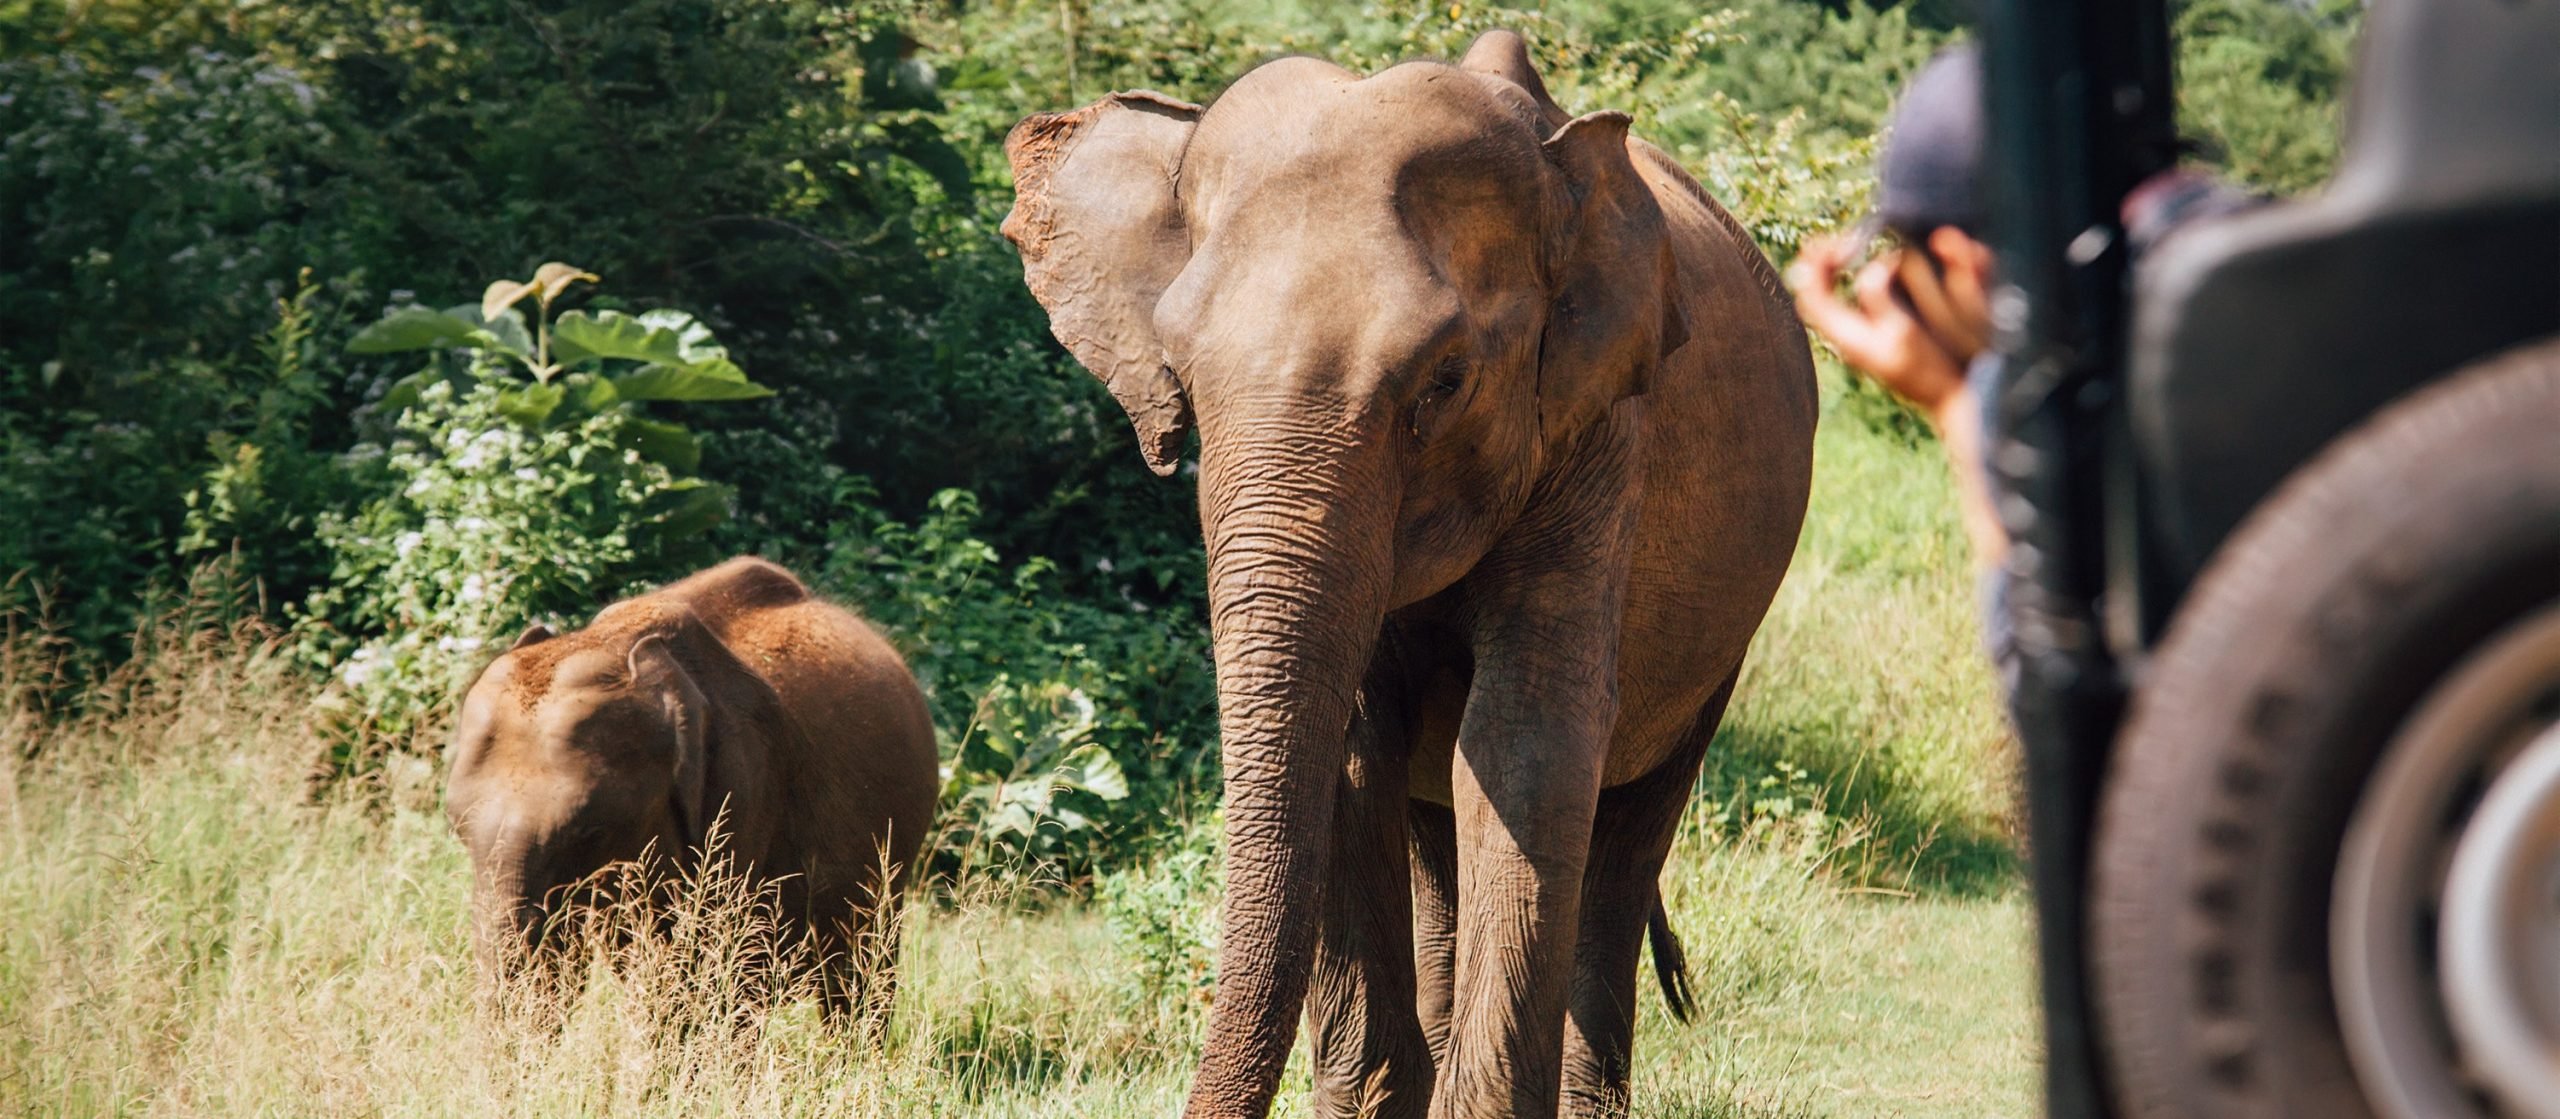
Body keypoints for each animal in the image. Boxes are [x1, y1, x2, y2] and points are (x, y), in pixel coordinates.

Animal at [1003, 32, 1822, 1116]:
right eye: (1179, 373)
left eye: (1444, 382)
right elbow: (1356, 756)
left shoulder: (1599, 435)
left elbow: (1524, 747)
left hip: (1725, 634)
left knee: (1629, 827)